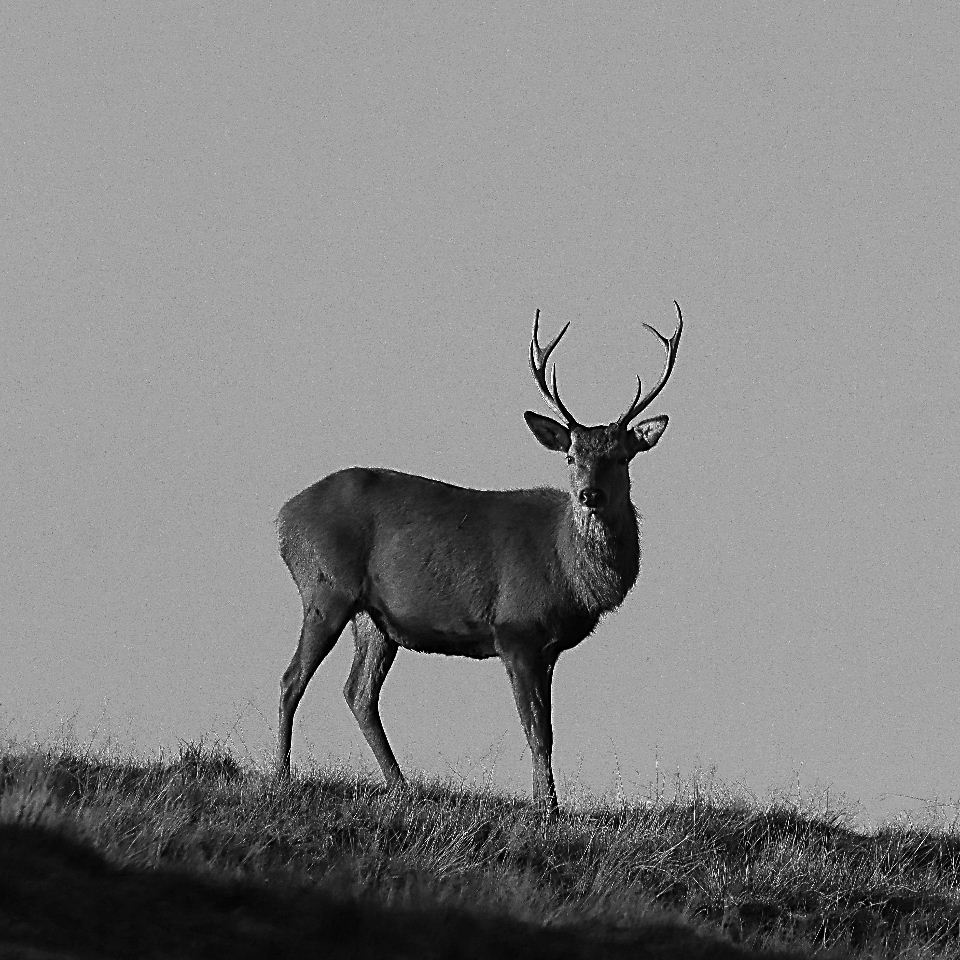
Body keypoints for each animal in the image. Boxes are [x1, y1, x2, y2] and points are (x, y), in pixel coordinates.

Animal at [276, 303, 683, 816]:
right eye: (570, 456)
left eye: (623, 456)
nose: (590, 495)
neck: (569, 571)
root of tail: (283, 518)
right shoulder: (515, 628)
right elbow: (537, 731)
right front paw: (547, 810)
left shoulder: (548, 648)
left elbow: (547, 728)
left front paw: (548, 804)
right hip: (324, 587)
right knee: (292, 679)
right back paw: (281, 775)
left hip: (373, 617)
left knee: (358, 694)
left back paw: (401, 786)